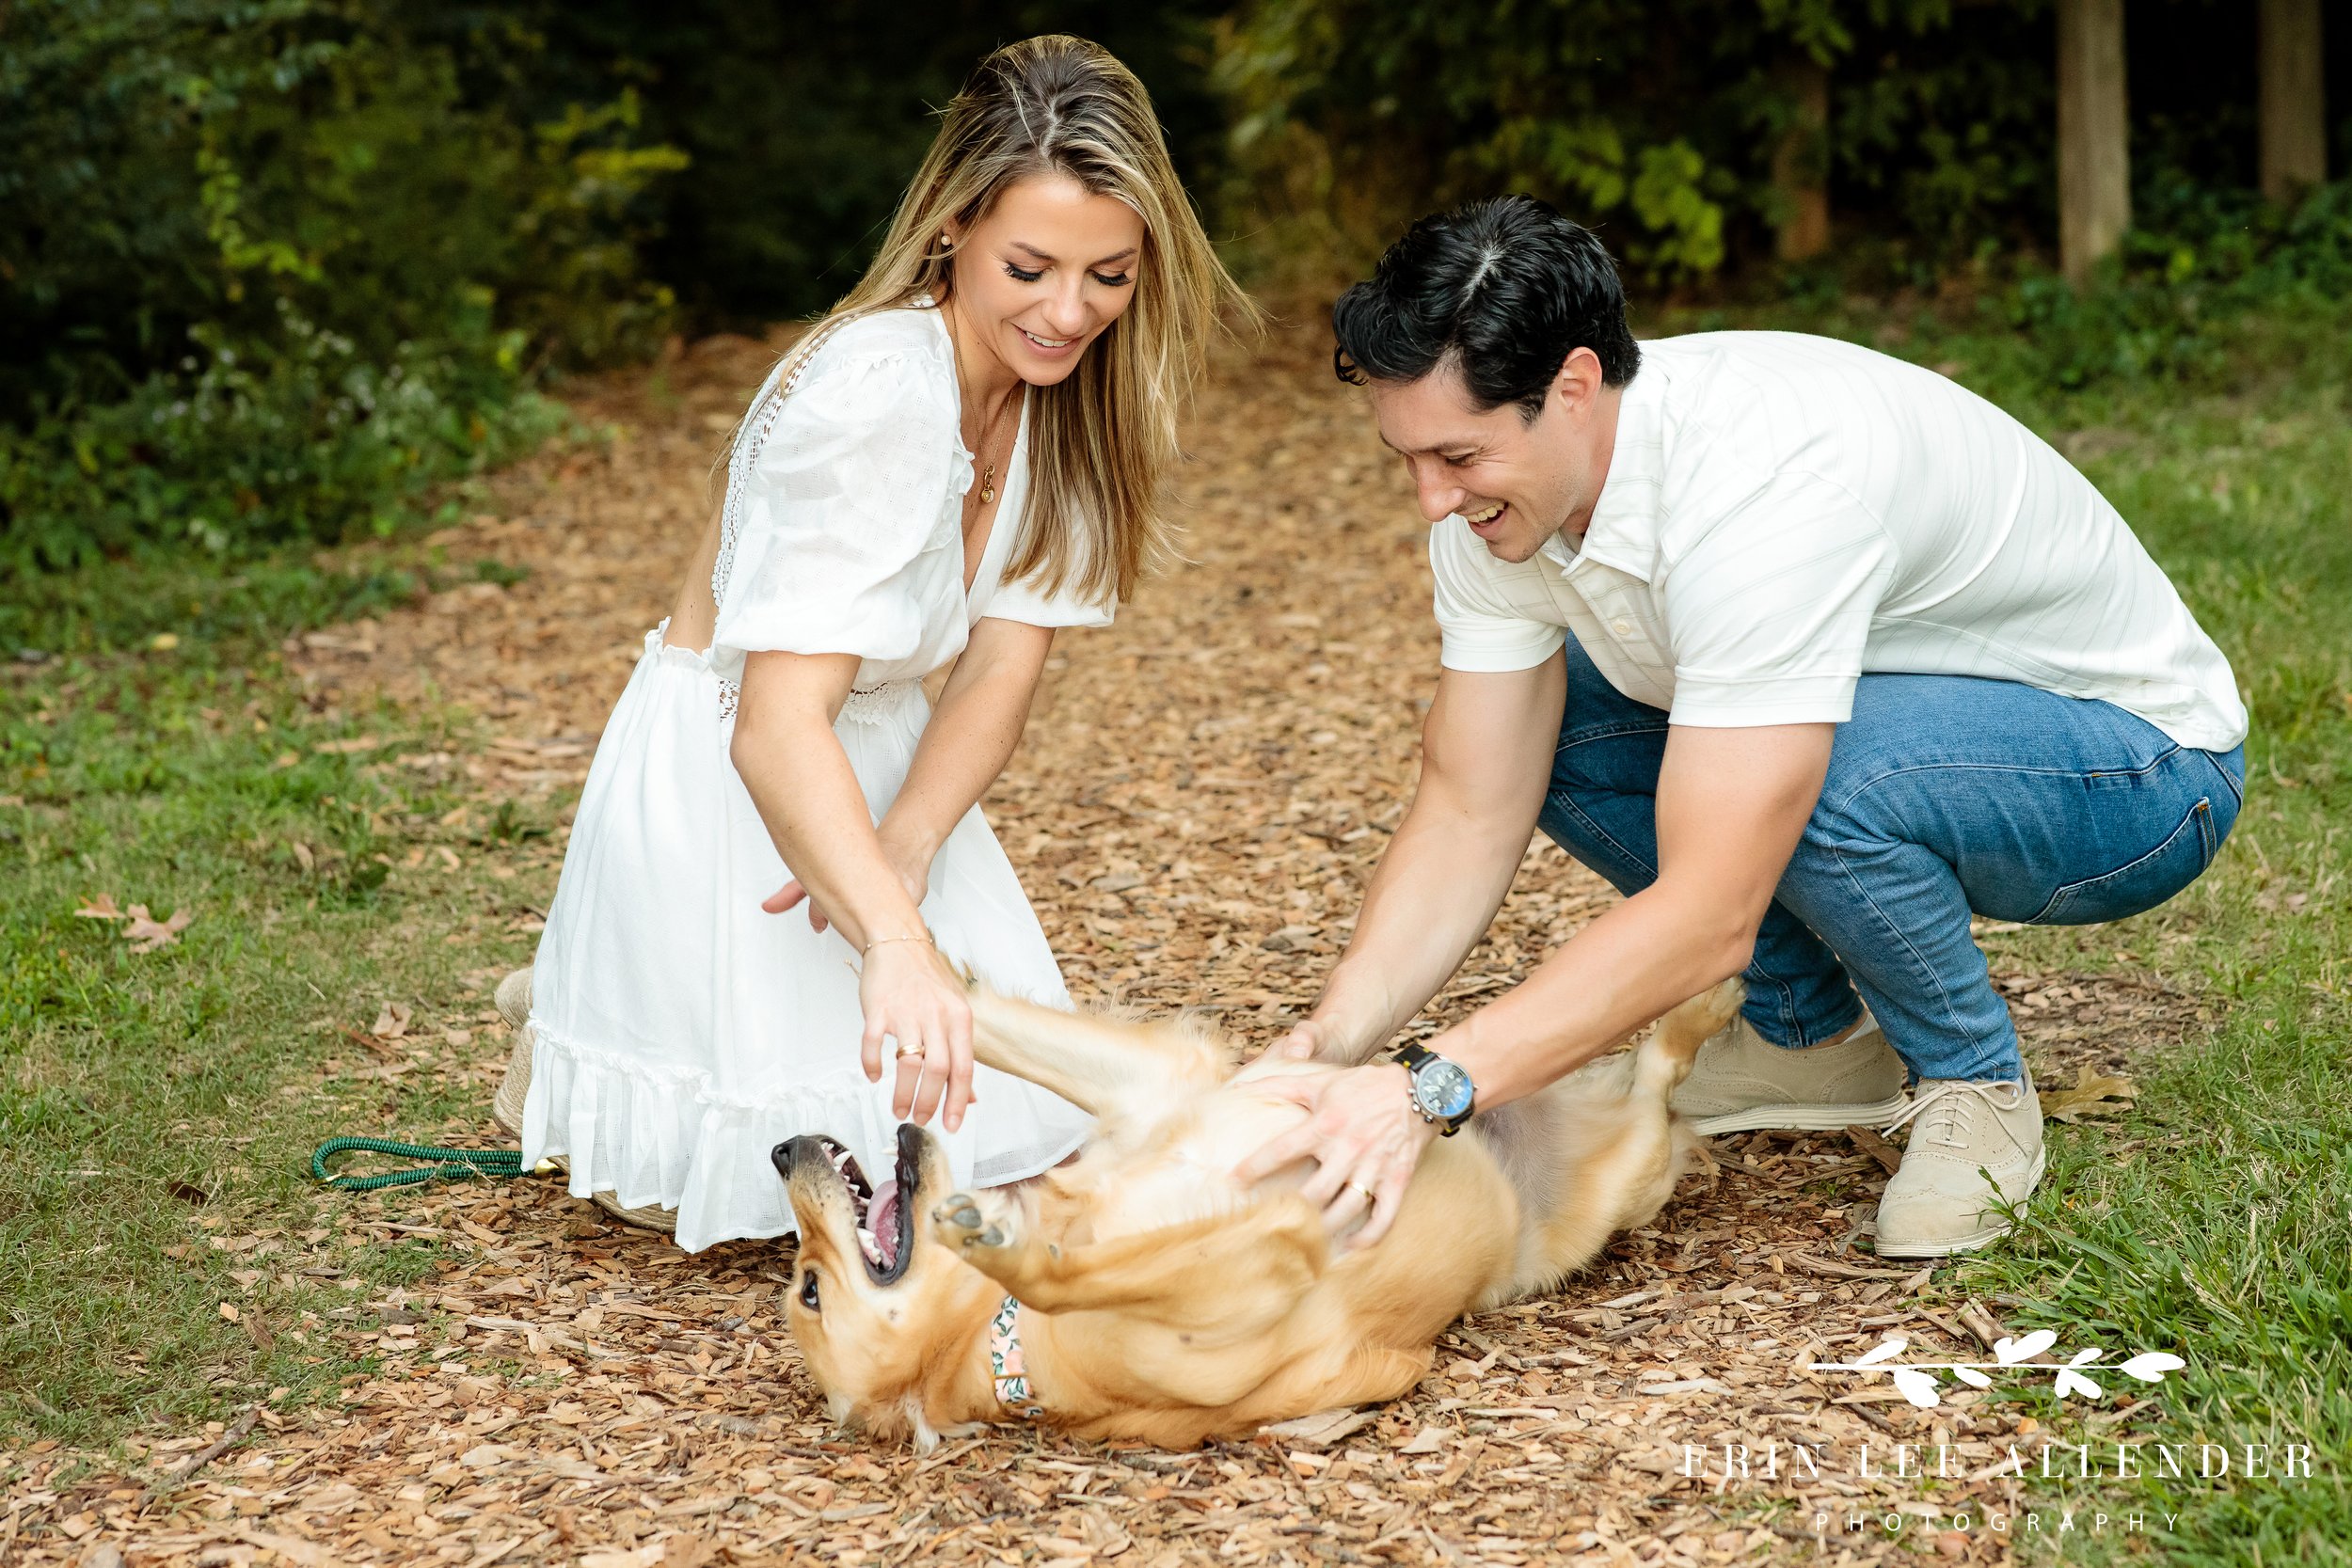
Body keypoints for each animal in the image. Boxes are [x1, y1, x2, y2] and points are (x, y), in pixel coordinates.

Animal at [776, 982, 1750, 1448]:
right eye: (810, 1289)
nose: (785, 1150)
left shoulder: (1162, 1084)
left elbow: (983, 1013)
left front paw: (910, 970)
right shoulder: (1256, 1279)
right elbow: (1070, 1274)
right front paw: (1004, 1241)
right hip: (1627, 1175)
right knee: (1659, 1080)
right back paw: (1704, 1005)